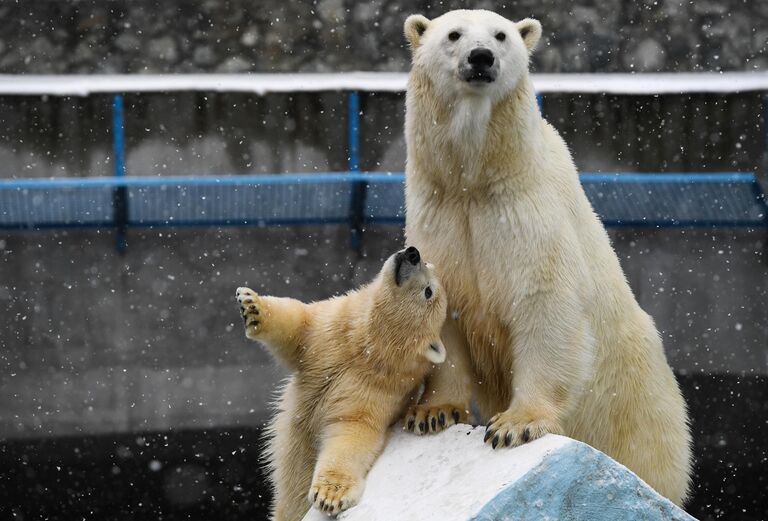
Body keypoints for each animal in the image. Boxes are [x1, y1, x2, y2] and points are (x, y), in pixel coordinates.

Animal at [402, 9, 688, 504]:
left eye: (501, 34)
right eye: (453, 34)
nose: (482, 57)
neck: (474, 181)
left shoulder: (525, 211)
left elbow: (545, 305)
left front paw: (515, 425)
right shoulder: (438, 214)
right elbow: (442, 310)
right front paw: (433, 412)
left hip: (637, 409)